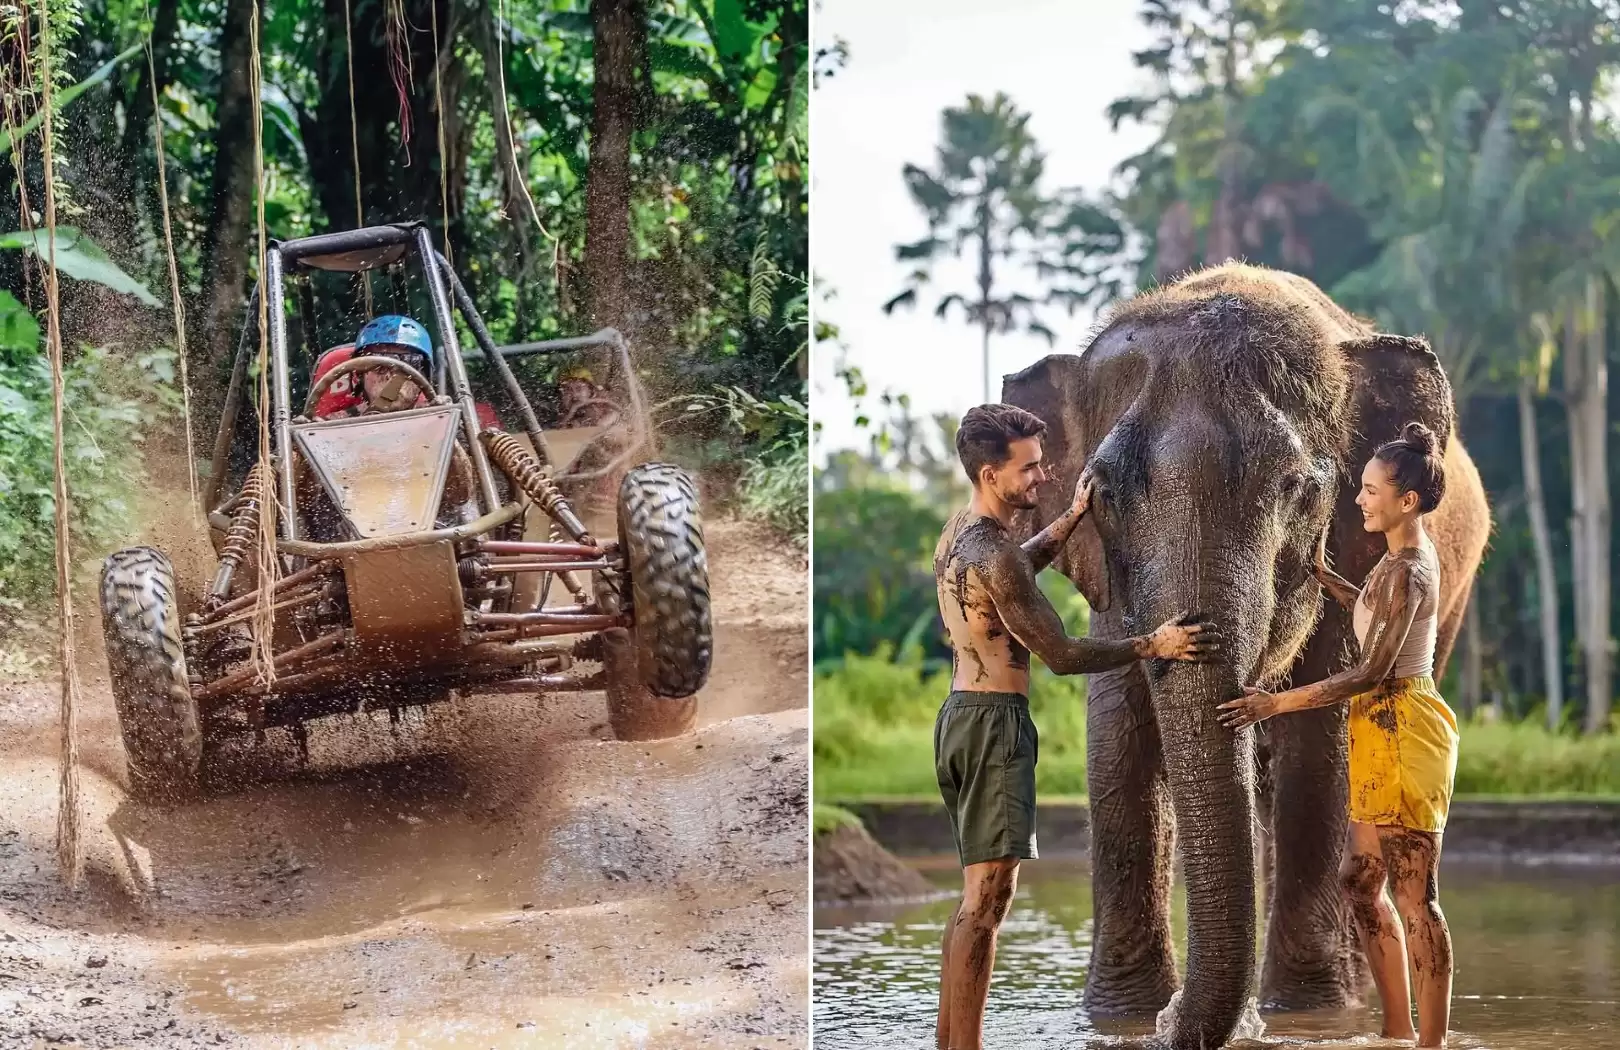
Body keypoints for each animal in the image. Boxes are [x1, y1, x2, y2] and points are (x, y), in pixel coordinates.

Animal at [1002, 262, 1490, 1048]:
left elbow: (1320, 750)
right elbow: (1116, 743)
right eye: (1101, 493)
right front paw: (1121, 1016)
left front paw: (1305, 1012)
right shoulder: (1105, 583)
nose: (1173, 1025)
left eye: (1299, 491)